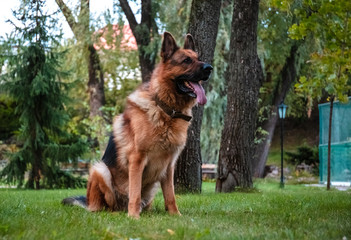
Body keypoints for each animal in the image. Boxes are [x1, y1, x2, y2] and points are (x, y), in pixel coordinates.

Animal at [62, 31, 213, 218]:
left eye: (198, 58)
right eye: (186, 60)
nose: (209, 68)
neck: (165, 109)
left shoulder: (169, 166)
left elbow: (170, 195)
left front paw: (175, 215)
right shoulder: (137, 159)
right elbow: (134, 192)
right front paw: (133, 217)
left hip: (152, 185)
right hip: (100, 170)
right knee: (104, 208)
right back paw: (118, 213)